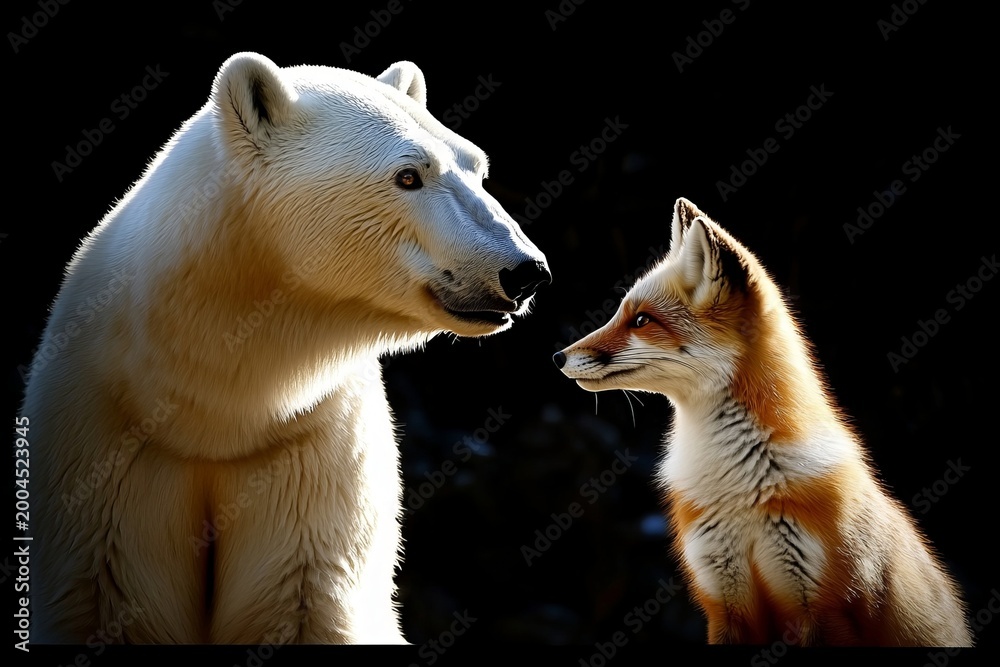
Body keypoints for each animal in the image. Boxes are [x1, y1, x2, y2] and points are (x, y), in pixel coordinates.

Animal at [21, 52, 550, 644]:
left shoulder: (313, 445)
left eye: (477, 167)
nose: (525, 271)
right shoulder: (106, 445)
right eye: (409, 175)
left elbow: (300, 596)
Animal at [553, 198, 972, 646]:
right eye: (622, 314)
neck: (740, 490)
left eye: (642, 320)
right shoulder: (723, 604)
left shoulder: (824, 609)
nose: (558, 356)